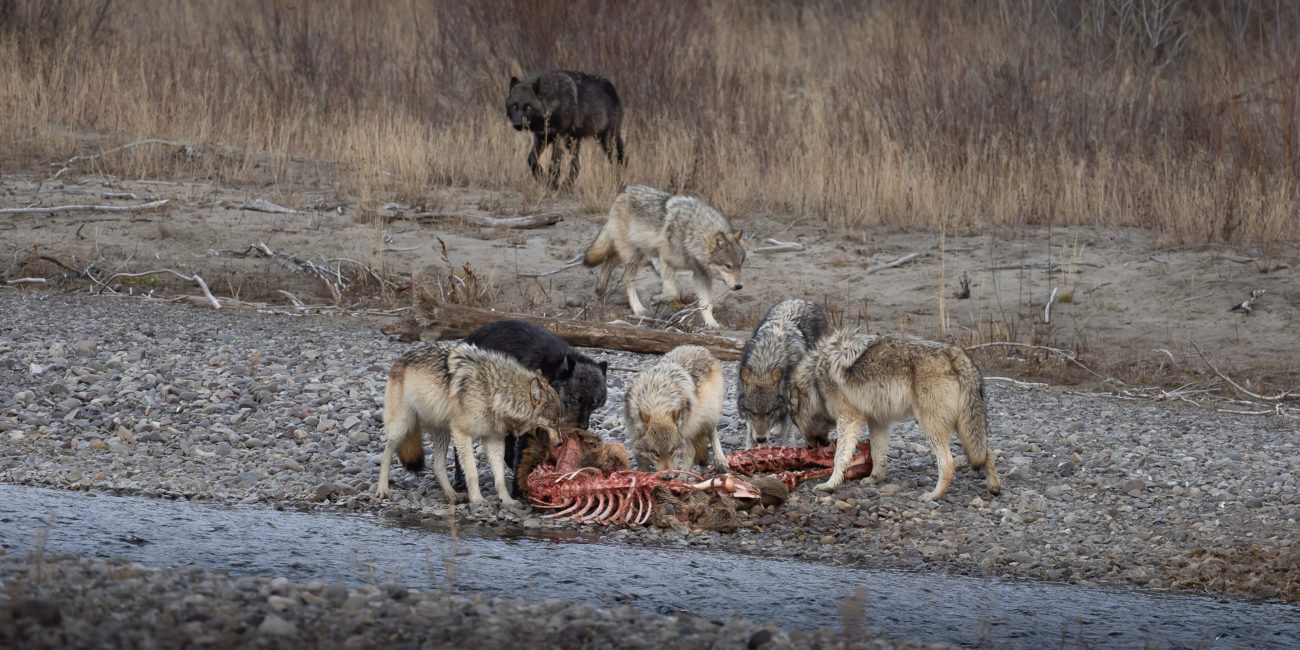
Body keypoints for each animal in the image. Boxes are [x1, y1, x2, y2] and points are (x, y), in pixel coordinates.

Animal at [376, 341, 563, 508]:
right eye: (554, 423)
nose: (561, 443)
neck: (494, 391)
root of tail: (401, 358)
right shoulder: (462, 433)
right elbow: (472, 472)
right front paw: (477, 499)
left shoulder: (494, 439)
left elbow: (500, 477)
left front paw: (507, 501)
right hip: (402, 427)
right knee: (386, 455)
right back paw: (383, 490)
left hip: (443, 433)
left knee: (437, 466)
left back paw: (453, 495)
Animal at [451, 319, 609, 494]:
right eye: (577, 399)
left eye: (594, 403)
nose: (584, 426)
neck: (551, 373)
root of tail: (467, 339)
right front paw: (519, 491)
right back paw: (460, 478)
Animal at [584, 184, 745, 329]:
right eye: (728, 266)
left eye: (739, 265)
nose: (739, 286)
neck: (692, 233)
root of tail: (624, 191)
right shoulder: (665, 260)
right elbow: (672, 293)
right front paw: (656, 299)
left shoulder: (701, 274)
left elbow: (707, 305)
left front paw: (711, 323)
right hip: (633, 255)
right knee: (626, 279)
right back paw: (638, 309)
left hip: (638, 253)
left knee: (610, 260)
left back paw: (600, 289)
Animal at [738, 299, 829, 448]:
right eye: (752, 412)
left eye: (769, 412)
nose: (761, 439)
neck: (766, 361)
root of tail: (801, 300)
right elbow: (750, 432)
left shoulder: (791, 401)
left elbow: (788, 430)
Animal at [787, 329, 1001, 501]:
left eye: (795, 422)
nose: (809, 447)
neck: (815, 377)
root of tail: (956, 354)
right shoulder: (877, 420)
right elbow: (878, 453)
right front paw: (874, 479)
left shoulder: (849, 419)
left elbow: (840, 457)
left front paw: (830, 485)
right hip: (964, 427)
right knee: (986, 452)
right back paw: (994, 487)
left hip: (930, 425)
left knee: (948, 463)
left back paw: (933, 496)